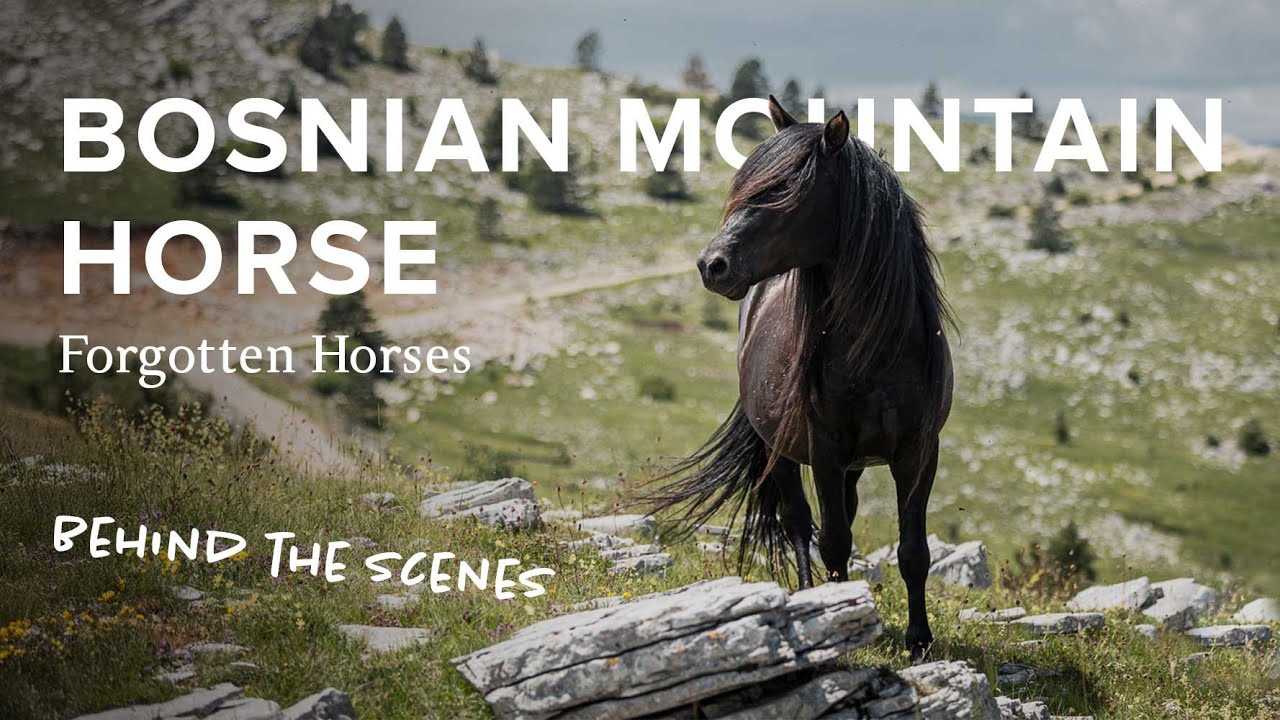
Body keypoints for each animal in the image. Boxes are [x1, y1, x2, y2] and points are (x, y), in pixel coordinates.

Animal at [647, 96, 954, 660]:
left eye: (785, 189)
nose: (712, 265)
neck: (878, 352)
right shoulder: (825, 449)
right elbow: (830, 539)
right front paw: (840, 620)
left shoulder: (919, 452)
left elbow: (913, 551)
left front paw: (919, 641)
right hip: (782, 450)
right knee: (797, 523)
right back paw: (812, 599)